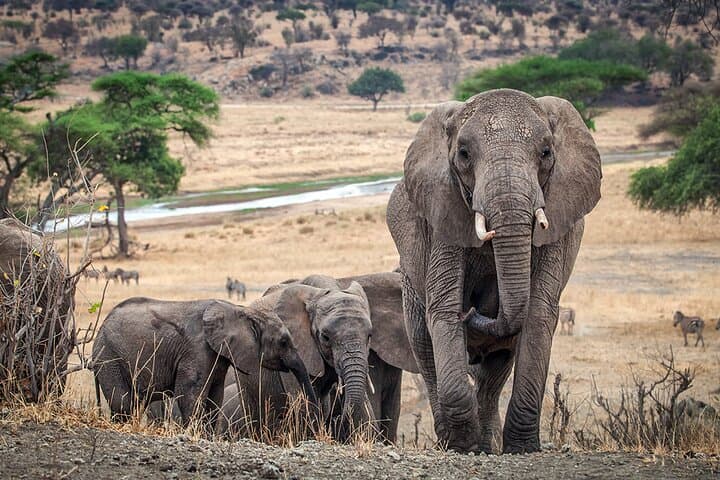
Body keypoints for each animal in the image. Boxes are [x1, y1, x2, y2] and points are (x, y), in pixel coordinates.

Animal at [92, 297, 318, 430]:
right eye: (284, 342)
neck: (240, 311)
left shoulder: (218, 356)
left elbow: (214, 398)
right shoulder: (197, 350)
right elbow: (189, 394)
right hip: (109, 356)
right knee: (123, 402)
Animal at [386, 89, 602, 453]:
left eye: (546, 152)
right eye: (463, 153)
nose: (474, 310)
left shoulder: (558, 219)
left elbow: (539, 314)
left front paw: (522, 448)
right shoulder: (444, 212)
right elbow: (443, 310)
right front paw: (463, 447)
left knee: (495, 369)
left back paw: (488, 445)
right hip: (410, 286)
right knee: (425, 350)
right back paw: (452, 442)